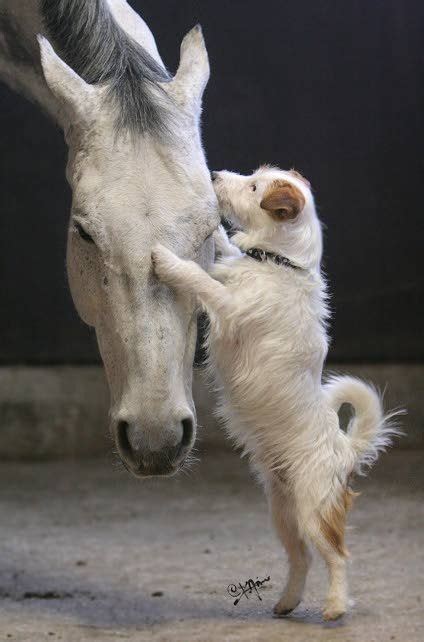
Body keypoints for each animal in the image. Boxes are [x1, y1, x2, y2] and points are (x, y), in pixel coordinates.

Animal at [152, 166, 400, 620]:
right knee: (301, 558)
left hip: (314, 509)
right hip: (283, 513)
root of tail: (345, 449)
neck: (281, 264)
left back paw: (335, 606)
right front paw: (216, 231)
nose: (216, 173)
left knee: (337, 555)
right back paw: (287, 601)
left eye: (253, 187)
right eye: (253, 175)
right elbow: (224, 247)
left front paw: (168, 262)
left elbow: (199, 278)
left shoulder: (228, 306)